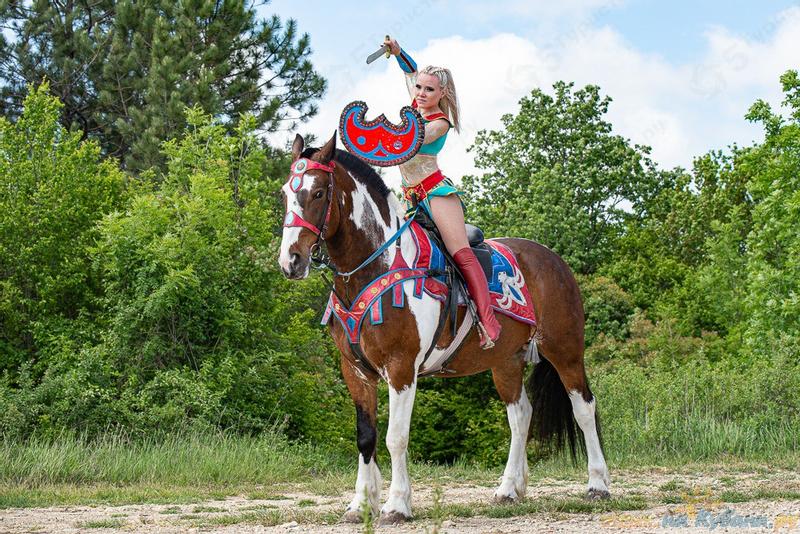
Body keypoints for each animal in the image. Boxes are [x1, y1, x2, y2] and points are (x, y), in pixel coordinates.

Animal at [278, 132, 608, 524]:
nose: (291, 260)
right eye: (285, 194)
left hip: (565, 349)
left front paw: (397, 504)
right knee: (520, 416)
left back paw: (597, 485)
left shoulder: (401, 368)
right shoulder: (355, 371)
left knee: (584, 407)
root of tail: (554, 259)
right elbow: (366, 437)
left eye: (317, 193)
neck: (377, 266)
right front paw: (359, 505)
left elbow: (395, 438)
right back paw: (509, 489)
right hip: (506, 361)